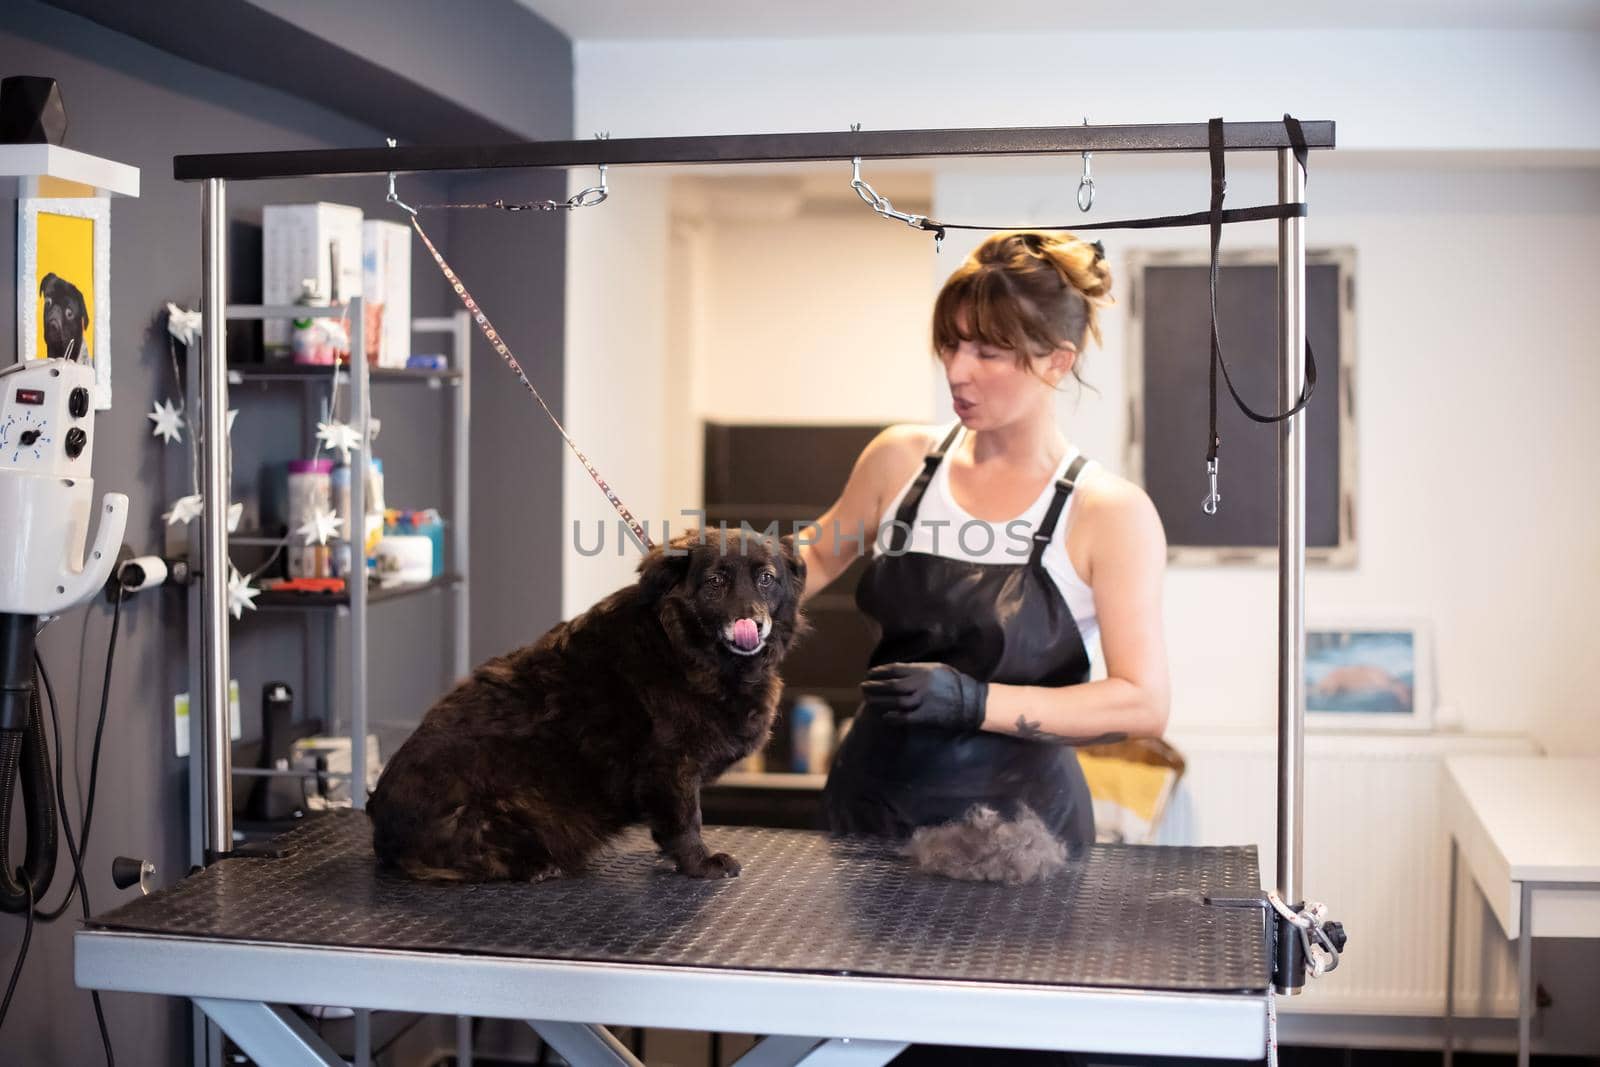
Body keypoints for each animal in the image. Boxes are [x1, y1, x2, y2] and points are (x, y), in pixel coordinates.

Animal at [368, 527, 806, 883]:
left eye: (766, 579)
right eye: (715, 582)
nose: (753, 623)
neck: (684, 647)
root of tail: (379, 821)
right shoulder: (670, 765)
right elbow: (686, 820)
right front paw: (700, 863)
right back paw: (536, 866)